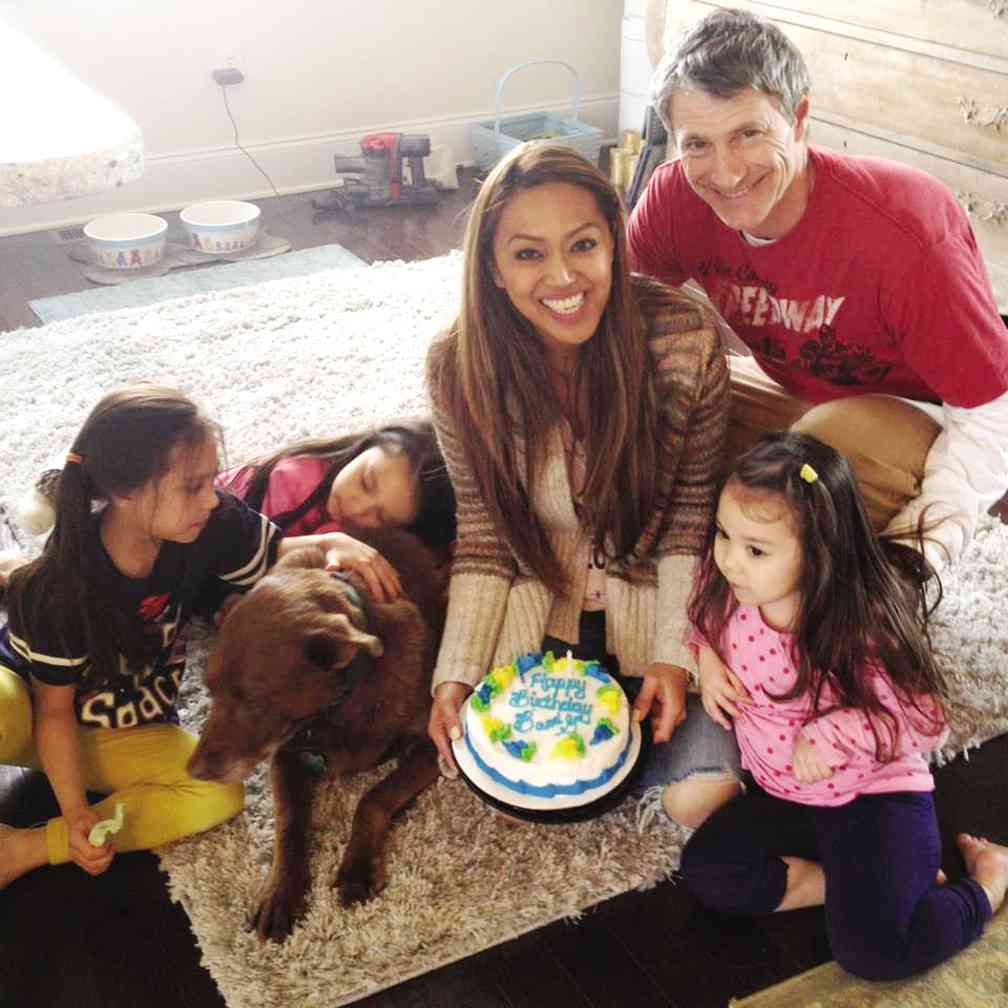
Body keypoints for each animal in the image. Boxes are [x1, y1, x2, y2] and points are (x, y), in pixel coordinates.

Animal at [187, 527, 445, 941]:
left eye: (252, 699)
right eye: (209, 689)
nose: (193, 771)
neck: (339, 703)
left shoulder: (433, 745)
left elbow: (373, 796)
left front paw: (356, 869)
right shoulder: (285, 754)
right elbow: (289, 822)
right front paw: (280, 892)